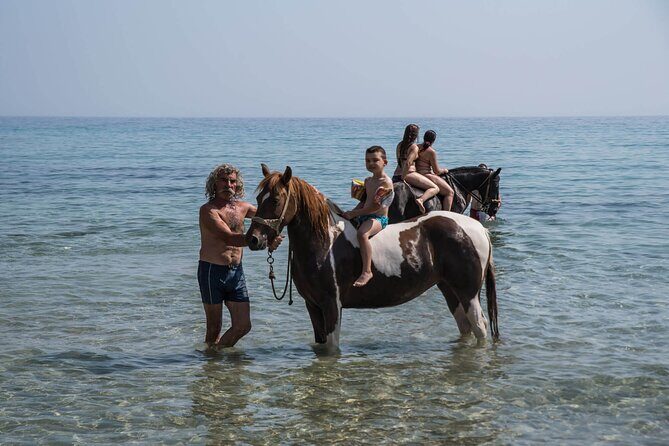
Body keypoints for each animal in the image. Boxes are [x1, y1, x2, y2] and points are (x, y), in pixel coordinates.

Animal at [245, 164, 499, 350]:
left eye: (275, 199)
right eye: (258, 200)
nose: (253, 239)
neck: (325, 243)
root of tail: (478, 228)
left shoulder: (331, 305)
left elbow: (331, 349)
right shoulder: (313, 305)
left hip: (468, 293)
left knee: (480, 326)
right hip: (448, 288)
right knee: (465, 326)